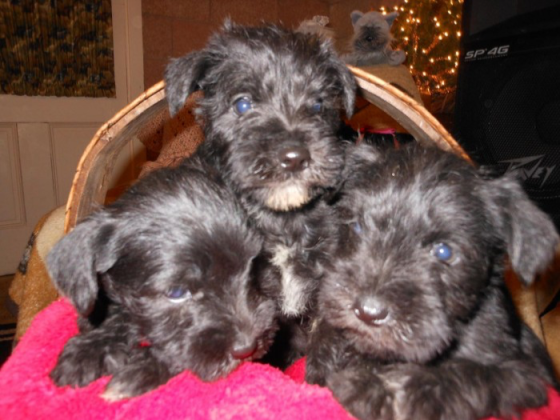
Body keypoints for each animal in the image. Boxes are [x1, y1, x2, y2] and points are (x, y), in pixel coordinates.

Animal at [306, 142, 560, 420]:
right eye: (357, 226)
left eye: (444, 251)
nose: (368, 312)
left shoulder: (521, 374)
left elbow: (466, 375)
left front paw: (379, 388)